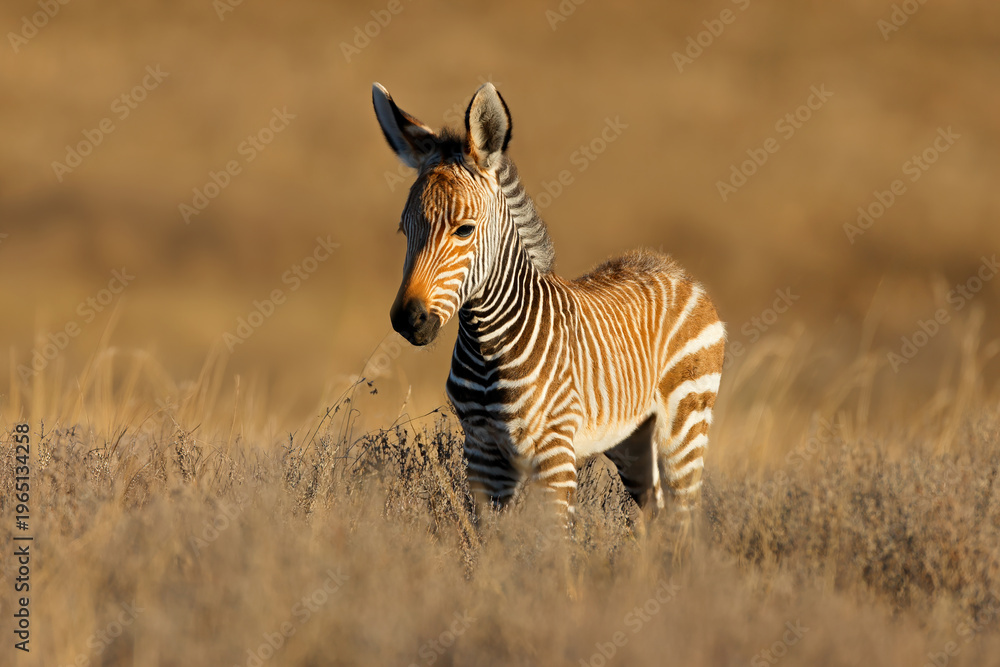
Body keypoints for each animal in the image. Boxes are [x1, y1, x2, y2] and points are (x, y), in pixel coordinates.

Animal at [372, 82, 725, 522]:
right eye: (404, 231)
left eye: (464, 230)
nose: (409, 319)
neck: (489, 344)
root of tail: (669, 267)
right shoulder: (482, 452)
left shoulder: (554, 450)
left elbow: (554, 537)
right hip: (631, 441)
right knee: (654, 513)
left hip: (684, 426)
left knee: (683, 517)